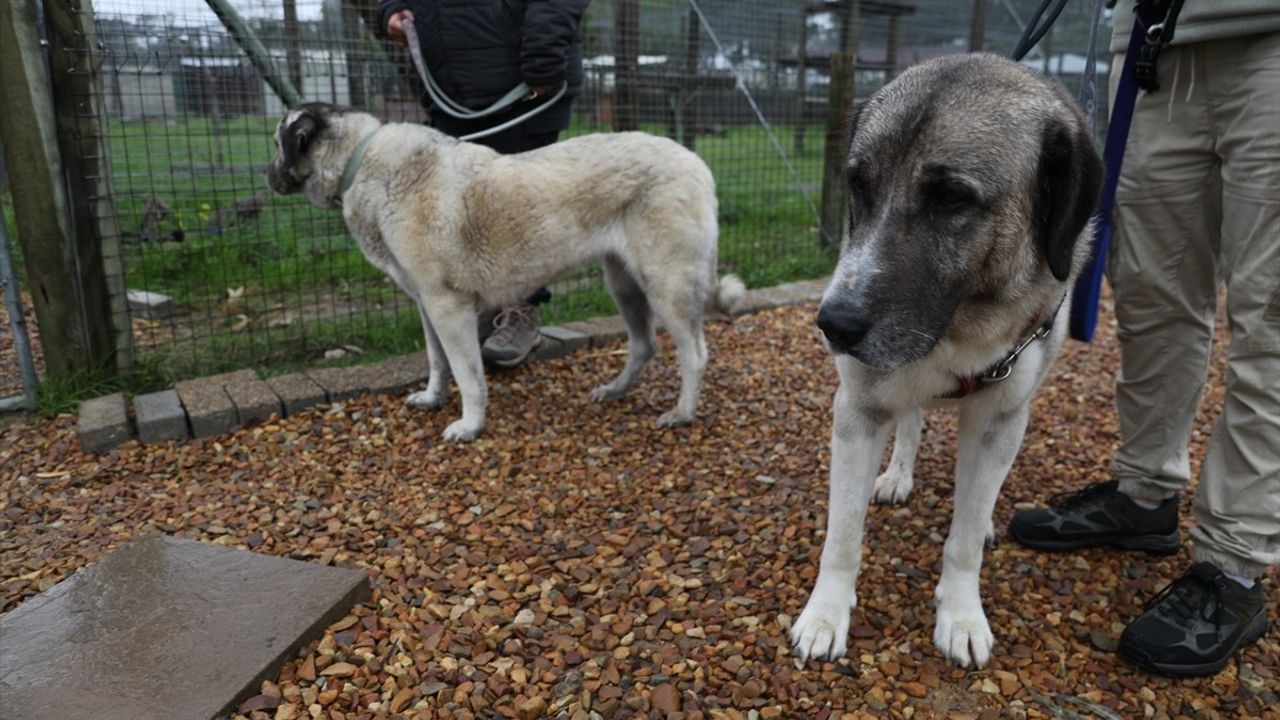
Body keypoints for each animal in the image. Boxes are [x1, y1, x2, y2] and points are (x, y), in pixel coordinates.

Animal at [788, 54, 1100, 666]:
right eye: (858, 185)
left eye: (952, 198)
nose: (833, 325)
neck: (959, 330)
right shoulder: (857, 409)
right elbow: (843, 533)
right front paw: (824, 617)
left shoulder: (1001, 417)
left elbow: (965, 535)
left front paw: (960, 616)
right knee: (910, 422)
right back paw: (896, 475)